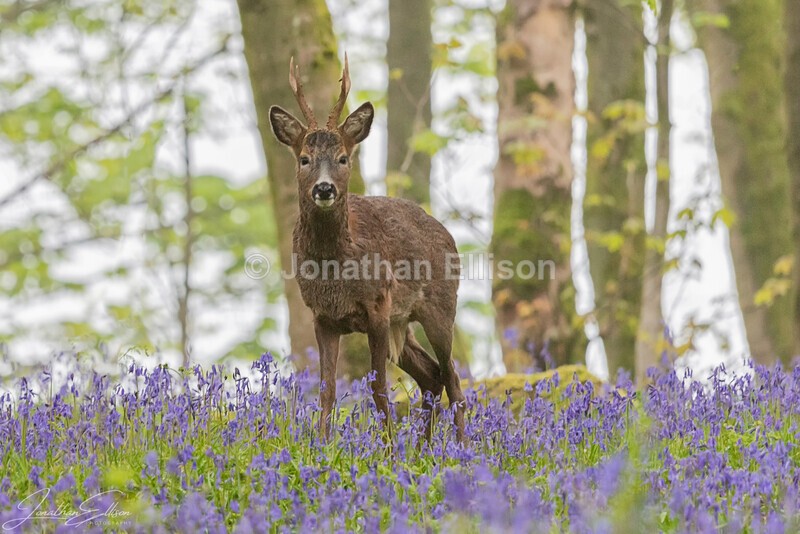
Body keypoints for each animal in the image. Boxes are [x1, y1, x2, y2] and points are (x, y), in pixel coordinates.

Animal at [268, 55, 466, 442]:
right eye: (304, 158)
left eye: (344, 158)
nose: (324, 189)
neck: (334, 267)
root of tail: (448, 235)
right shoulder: (323, 316)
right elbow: (327, 390)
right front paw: (322, 445)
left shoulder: (377, 306)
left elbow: (378, 389)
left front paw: (387, 449)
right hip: (402, 324)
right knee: (432, 375)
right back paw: (423, 448)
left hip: (439, 308)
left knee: (453, 378)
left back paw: (464, 448)